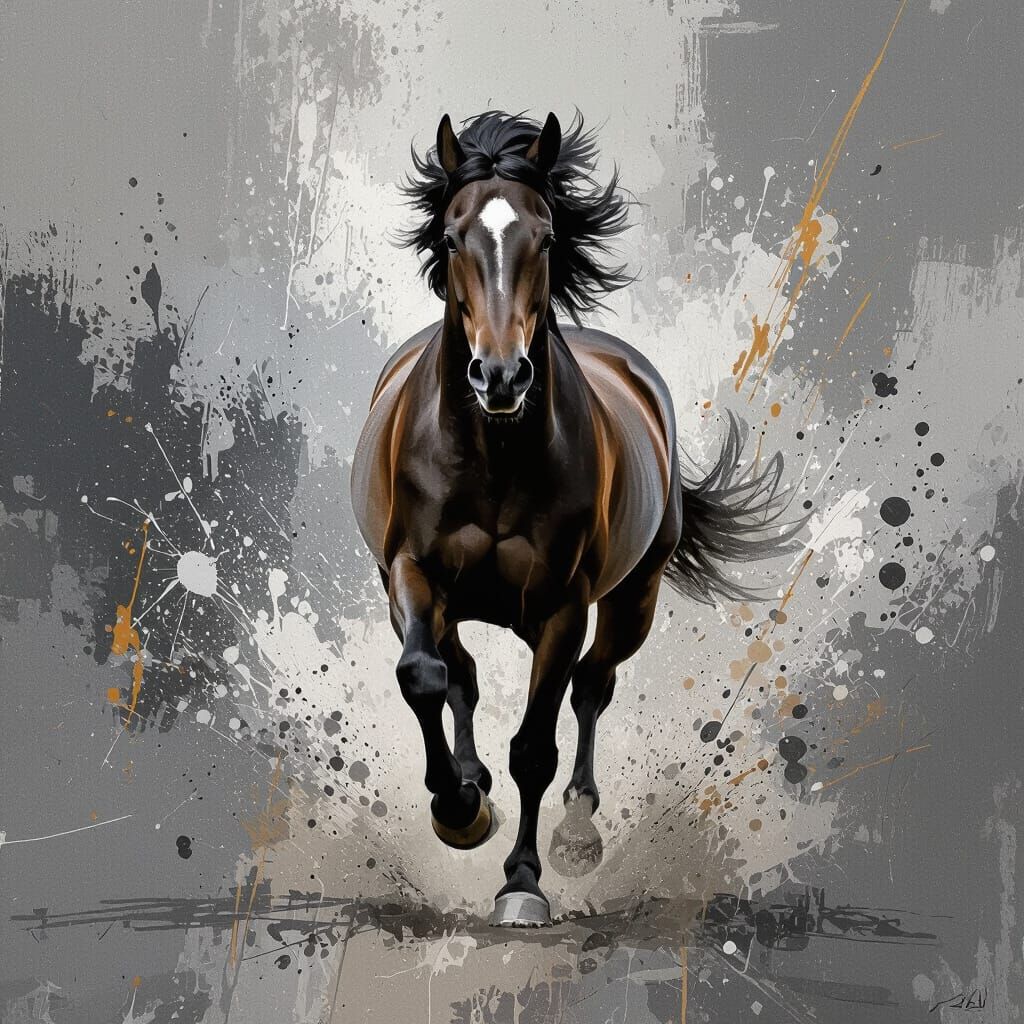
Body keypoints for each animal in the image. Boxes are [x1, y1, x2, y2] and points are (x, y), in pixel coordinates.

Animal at [351, 110, 795, 927]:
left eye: (547, 235)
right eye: (452, 238)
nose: (501, 376)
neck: (494, 457)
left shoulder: (563, 605)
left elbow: (537, 746)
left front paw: (522, 882)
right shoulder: (410, 573)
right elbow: (425, 676)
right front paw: (459, 810)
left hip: (632, 598)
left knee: (591, 688)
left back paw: (578, 829)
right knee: (461, 675)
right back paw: (471, 785)